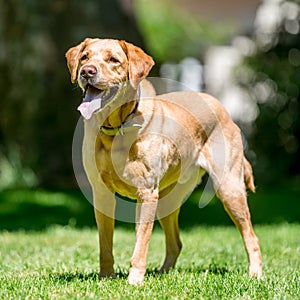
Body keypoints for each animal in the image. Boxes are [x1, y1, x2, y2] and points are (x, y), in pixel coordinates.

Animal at [66, 37, 262, 284]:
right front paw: (106, 277)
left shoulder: (147, 193)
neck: (116, 128)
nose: (87, 71)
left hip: (229, 189)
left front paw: (134, 280)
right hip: (168, 200)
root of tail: (221, 106)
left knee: (251, 237)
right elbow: (105, 245)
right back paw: (162, 274)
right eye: (84, 57)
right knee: (176, 243)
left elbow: (141, 243)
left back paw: (255, 274)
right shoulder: (101, 193)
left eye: (113, 60)